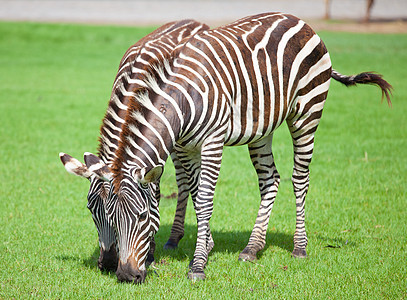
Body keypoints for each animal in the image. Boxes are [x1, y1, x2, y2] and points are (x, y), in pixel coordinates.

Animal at [58, 18, 210, 272]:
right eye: (90, 209)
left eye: (111, 212)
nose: (108, 263)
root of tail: (193, 21)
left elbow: (154, 198)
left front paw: (149, 253)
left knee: (185, 181)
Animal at [87, 12, 396, 284]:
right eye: (98, 213)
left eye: (141, 217)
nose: (121, 273)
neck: (180, 101)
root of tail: (298, 19)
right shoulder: (185, 146)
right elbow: (193, 192)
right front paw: (202, 247)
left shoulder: (211, 143)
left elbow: (204, 200)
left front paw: (198, 265)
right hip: (262, 127)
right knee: (270, 179)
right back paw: (252, 248)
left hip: (308, 111)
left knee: (299, 178)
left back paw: (299, 247)